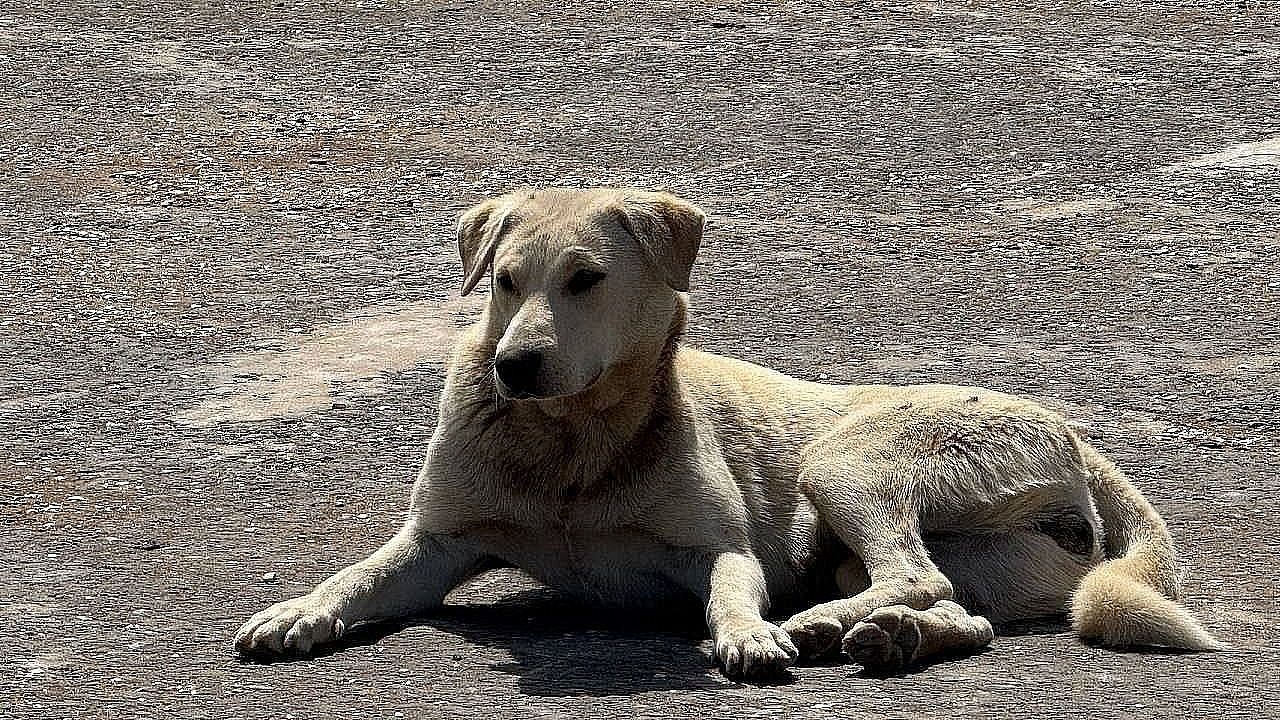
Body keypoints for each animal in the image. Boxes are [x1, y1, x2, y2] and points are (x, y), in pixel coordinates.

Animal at [235, 187, 1222, 678]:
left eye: (585, 279)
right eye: (506, 280)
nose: (514, 367)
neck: (569, 448)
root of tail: (1074, 434)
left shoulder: (724, 551)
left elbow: (729, 596)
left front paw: (749, 636)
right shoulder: (435, 544)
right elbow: (357, 576)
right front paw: (298, 612)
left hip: (845, 463)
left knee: (918, 576)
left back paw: (825, 627)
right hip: (949, 554)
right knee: (958, 608)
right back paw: (890, 638)